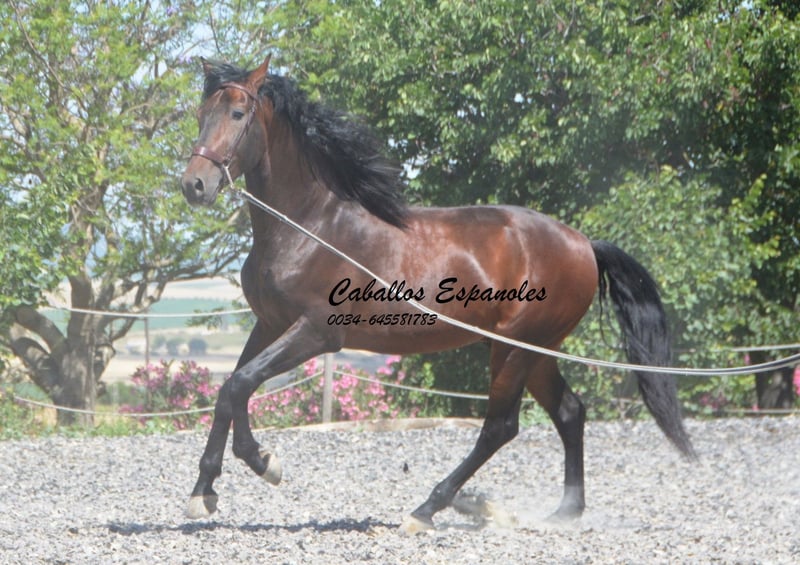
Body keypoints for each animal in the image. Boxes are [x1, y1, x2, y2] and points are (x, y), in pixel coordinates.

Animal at [180, 55, 696, 531]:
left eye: (238, 114)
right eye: (202, 111)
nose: (194, 185)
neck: (310, 226)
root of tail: (584, 244)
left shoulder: (317, 333)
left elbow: (239, 384)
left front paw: (263, 464)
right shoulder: (271, 324)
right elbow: (231, 388)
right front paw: (207, 489)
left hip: (515, 349)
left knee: (499, 427)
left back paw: (426, 509)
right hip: (536, 350)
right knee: (569, 412)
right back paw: (565, 512)